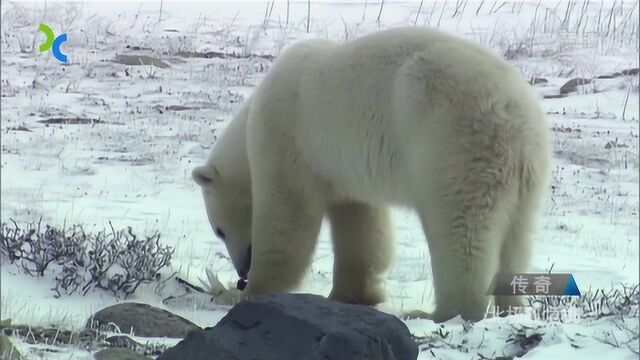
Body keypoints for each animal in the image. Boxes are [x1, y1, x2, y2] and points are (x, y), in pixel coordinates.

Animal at [192, 26, 552, 322]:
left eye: (219, 230)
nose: (242, 270)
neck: (249, 120)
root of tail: (514, 114)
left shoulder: (286, 136)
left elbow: (287, 218)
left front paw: (240, 292)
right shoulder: (343, 170)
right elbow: (361, 226)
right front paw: (351, 294)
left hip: (452, 140)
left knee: (459, 228)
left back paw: (439, 312)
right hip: (528, 172)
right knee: (517, 236)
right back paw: (511, 307)